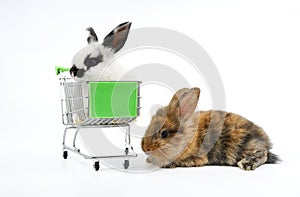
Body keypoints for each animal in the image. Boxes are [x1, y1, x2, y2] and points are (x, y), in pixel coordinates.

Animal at [142, 87, 280, 169]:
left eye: (164, 134)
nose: (145, 149)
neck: (188, 138)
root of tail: (265, 141)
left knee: (263, 154)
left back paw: (246, 164)